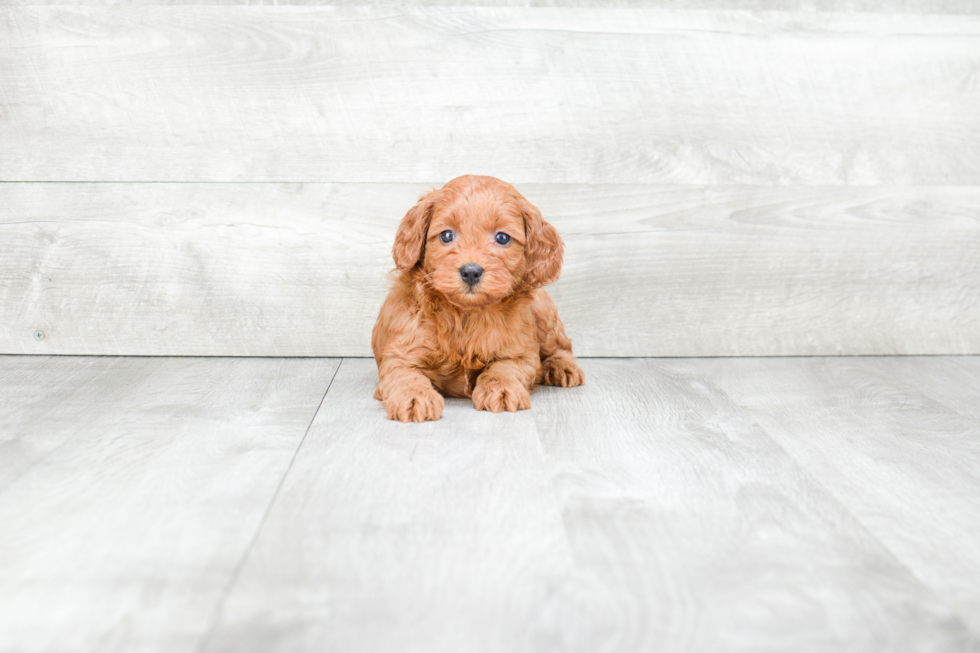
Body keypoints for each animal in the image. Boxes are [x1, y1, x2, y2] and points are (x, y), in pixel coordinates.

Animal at [370, 173, 580, 420]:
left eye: (502, 238)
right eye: (447, 235)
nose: (471, 271)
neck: (466, 314)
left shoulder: (519, 353)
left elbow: (504, 368)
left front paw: (501, 389)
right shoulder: (402, 353)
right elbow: (405, 376)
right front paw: (413, 398)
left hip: (544, 315)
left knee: (561, 347)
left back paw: (561, 367)